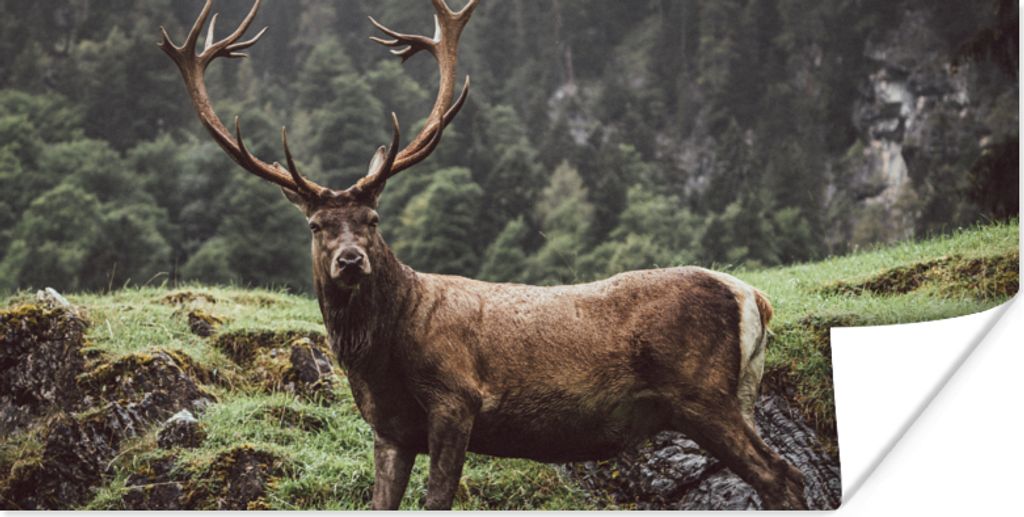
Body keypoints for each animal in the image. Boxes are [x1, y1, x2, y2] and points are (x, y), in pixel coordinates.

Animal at [160, 0, 808, 510]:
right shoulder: (389, 430)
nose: (350, 261)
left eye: (373, 221)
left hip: (703, 394)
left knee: (784, 476)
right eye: (318, 226)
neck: (380, 359)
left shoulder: (458, 397)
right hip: (738, 396)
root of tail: (755, 297)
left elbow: (438, 499)